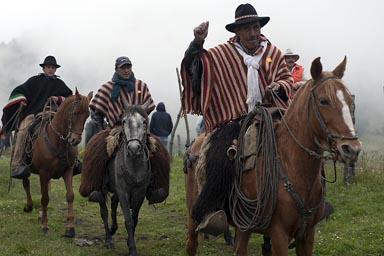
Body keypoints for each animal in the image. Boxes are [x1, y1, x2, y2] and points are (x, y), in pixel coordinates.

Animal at [21, 89, 92, 237]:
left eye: (87, 115)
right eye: (75, 112)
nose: (75, 140)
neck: (57, 140)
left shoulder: (68, 170)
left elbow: (70, 196)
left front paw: (70, 228)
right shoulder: (43, 173)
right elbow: (44, 198)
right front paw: (44, 225)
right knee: (26, 182)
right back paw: (29, 206)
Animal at [184, 57, 362, 255]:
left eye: (349, 100)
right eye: (324, 101)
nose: (352, 148)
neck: (291, 165)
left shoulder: (308, 233)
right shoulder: (279, 234)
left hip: (243, 224)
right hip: (194, 214)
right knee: (191, 244)